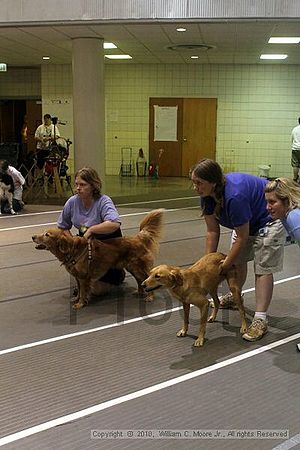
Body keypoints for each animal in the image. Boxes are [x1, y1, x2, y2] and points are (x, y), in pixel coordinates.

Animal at [31, 208, 163, 308]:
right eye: (43, 232)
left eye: (47, 235)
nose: (33, 237)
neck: (72, 250)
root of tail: (138, 237)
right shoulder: (77, 277)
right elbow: (79, 290)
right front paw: (76, 299)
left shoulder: (83, 277)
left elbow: (83, 291)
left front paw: (80, 304)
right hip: (132, 267)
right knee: (140, 280)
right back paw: (139, 292)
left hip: (138, 267)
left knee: (145, 279)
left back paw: (150, 297)